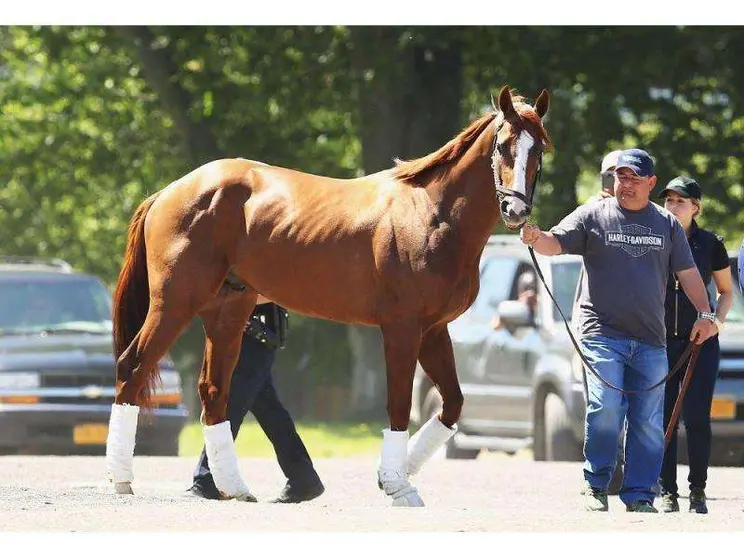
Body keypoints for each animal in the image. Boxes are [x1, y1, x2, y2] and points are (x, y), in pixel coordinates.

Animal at [104, 86, 548, 508]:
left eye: (539, 149)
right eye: (503, 145)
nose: (516, 211)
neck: (430, 214)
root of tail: (169, 191)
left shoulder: (434, 330)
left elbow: (453, 403)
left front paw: (396, 474)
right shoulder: (402, 329)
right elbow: (399, 404)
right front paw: (397, 484)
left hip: (227, 311)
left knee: (214, 390)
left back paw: (234, 487)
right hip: (175, 302)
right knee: (133, 366)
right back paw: (120, 480)